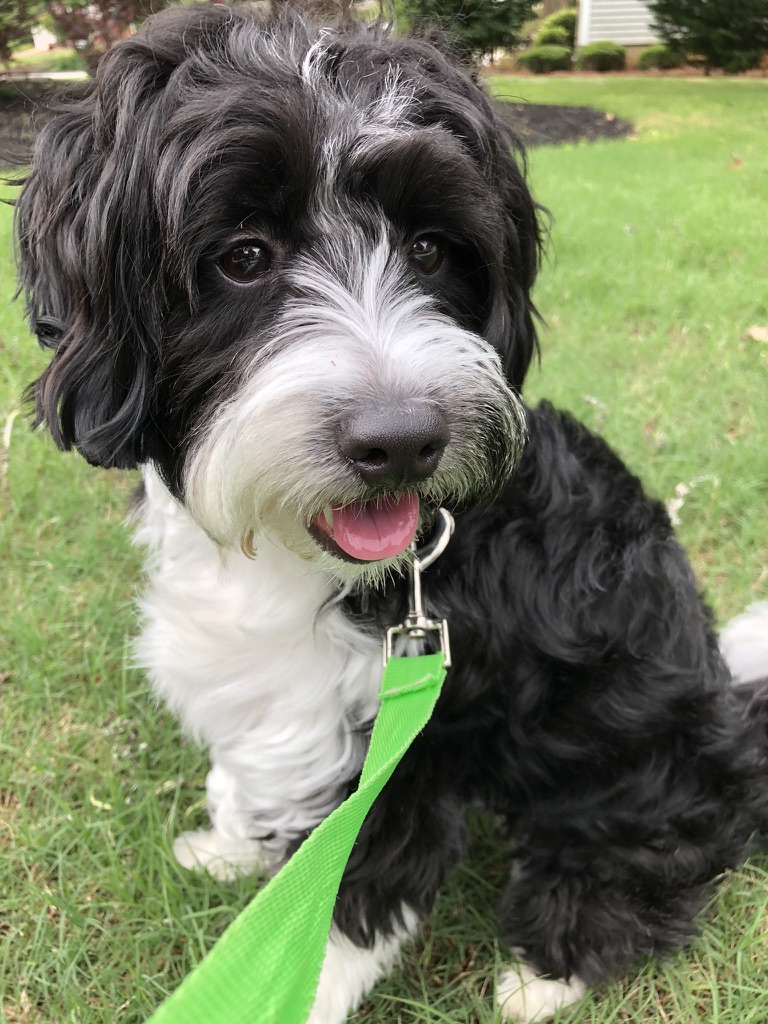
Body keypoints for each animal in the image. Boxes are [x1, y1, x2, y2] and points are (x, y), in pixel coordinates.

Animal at [15, 4, 768, 1019]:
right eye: (243, 256)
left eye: (430, 249)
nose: (404, 439)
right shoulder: (275, 691)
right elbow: (256, 776)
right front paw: (230, 842)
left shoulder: (407, 752)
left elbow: (340, 899)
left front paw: (285, 981)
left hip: (639, 761)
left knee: (642, 865)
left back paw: (548, 972)